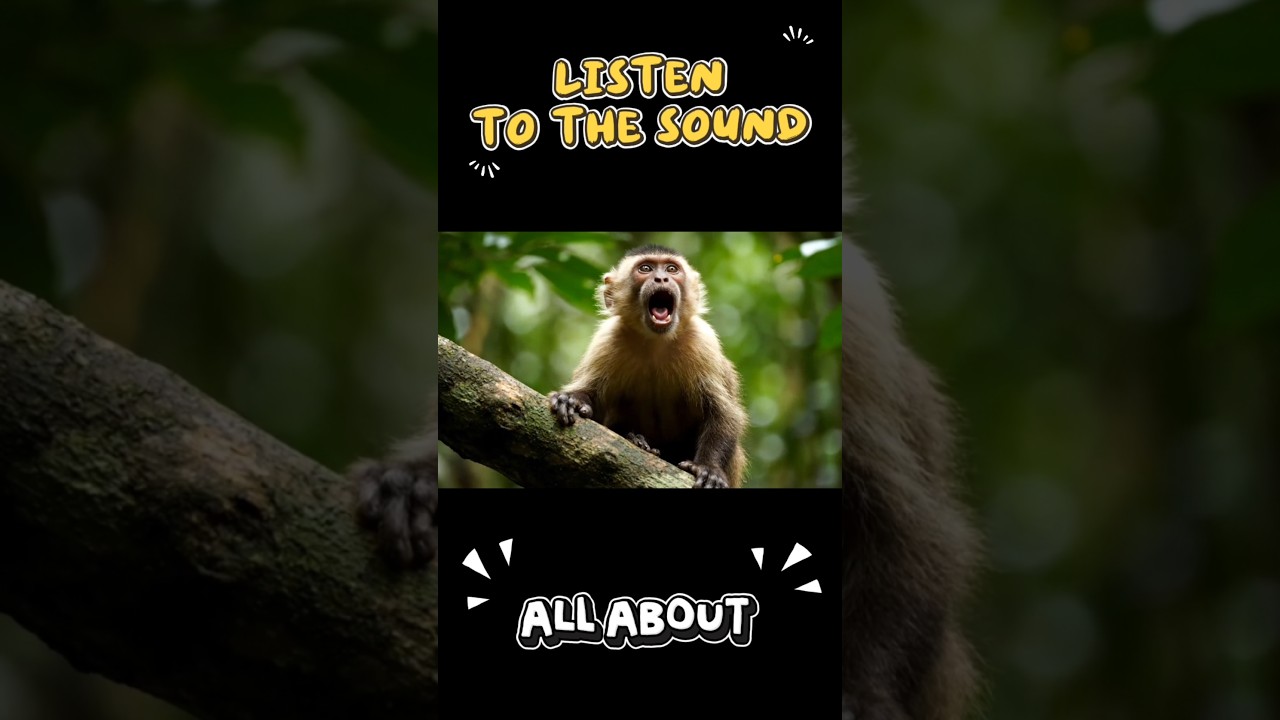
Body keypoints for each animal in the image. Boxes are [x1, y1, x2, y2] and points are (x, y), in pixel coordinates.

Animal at [548, 245, 749, 489]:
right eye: (645, 269)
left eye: (672, 269)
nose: (661, 278)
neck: (656, 342)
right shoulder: (607, 339)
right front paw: (572, 400)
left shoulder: (703, 341)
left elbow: (724, 413)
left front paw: (709, 468)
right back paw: (636, 439)